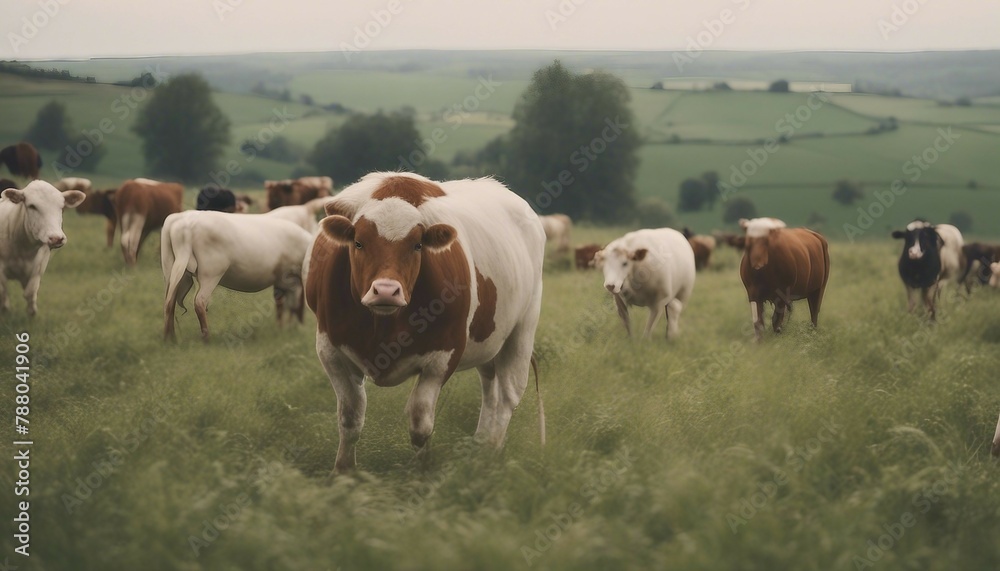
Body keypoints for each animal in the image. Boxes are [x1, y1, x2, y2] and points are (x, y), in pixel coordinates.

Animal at [0, 181, 85, 318]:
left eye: (62, 207)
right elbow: (3, 293)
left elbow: (30, 292)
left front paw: (32, 313)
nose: (56, 238)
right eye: (32, 206)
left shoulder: (39, 266)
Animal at [161, 211, 312, 342]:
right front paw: (295, 329)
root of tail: (184, 220)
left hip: (172, 267)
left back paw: (170, 338)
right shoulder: (290, 278)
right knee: (199, 302)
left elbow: (286, 305)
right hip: (211, 272)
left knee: (169, 301)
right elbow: (294, 305)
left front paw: (286, 329)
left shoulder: (283, 280)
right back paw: (206, 338)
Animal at [306, 171, 548, 474]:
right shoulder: (331, 351)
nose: (386, 290)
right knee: (490, 388)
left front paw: (421, 472)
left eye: (417, 244)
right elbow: (350, 419)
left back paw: (490, 454)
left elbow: (420, 423)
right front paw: (343, 472)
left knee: (507, 395)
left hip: (523, 329)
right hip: (489, 340)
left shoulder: (443, 357)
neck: (384, 324)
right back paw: (480, 446)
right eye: (359, 242)